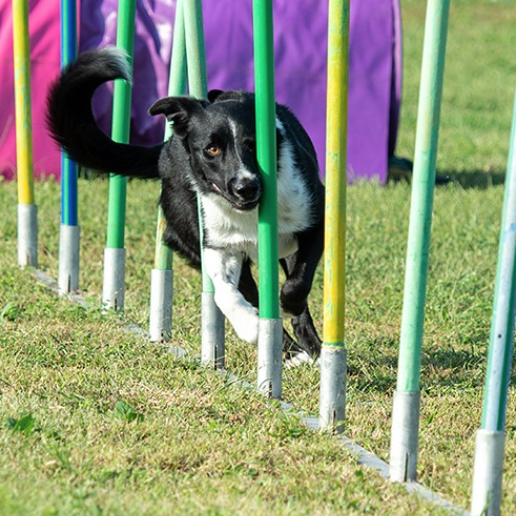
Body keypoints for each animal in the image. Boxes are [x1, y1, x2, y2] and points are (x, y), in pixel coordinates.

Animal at [47, 48, 322, 362]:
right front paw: (250, 327)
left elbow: (298, 282)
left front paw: (289, 307)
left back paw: (312, 350)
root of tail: (166, 149)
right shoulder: (217, 245)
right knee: (248, 293)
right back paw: (287, 349)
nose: (246, 187)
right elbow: (225, 293)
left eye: (253, 145)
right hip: (184, 231)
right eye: (212, 149)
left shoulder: (315, 219)